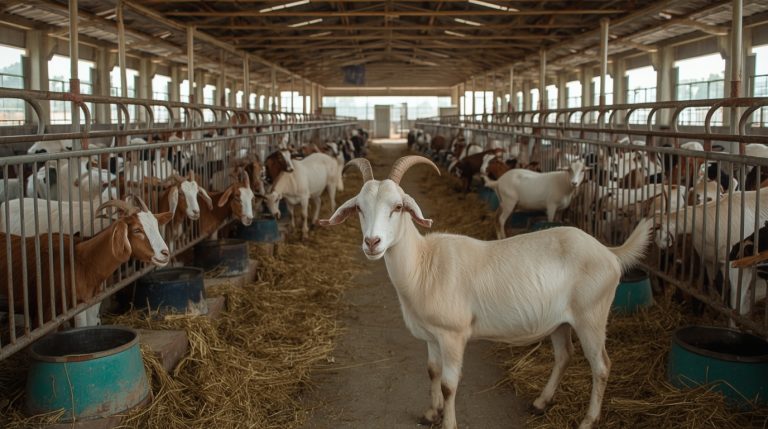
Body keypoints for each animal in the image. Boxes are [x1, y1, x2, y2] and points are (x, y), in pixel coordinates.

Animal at [320, 156, 651, 429]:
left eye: (398, 207)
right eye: (359, 208)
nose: (372, 242)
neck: (424, 264)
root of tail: (609, 252)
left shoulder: (453, 334)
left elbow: (449, 384)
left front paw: (448, 422)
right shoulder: (432, 336)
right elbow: (432, 371)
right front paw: (430, 413)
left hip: (591, 316)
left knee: (602, 366)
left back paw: (588, 420)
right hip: (561, 321)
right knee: (564, 356)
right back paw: (541, 403)